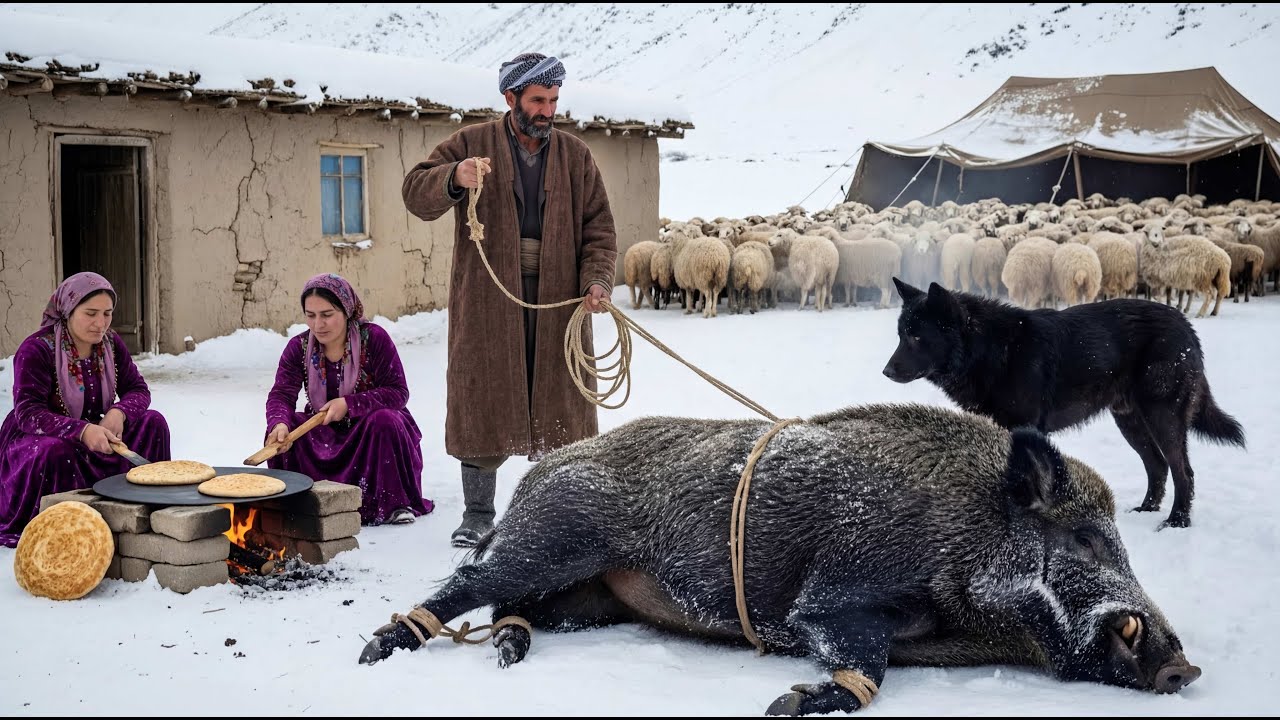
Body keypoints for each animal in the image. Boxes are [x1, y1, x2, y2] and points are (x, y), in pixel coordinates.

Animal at [358, 403, 1200, 715]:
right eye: (1085, 538)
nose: (1184, 667)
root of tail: (544, 466)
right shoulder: (835, 593)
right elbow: (865, 661)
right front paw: (785, 705)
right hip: (554, 539)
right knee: (471, 582)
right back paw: (382, 648)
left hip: (583, 595)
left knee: (511, 611)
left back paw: (507, 653)